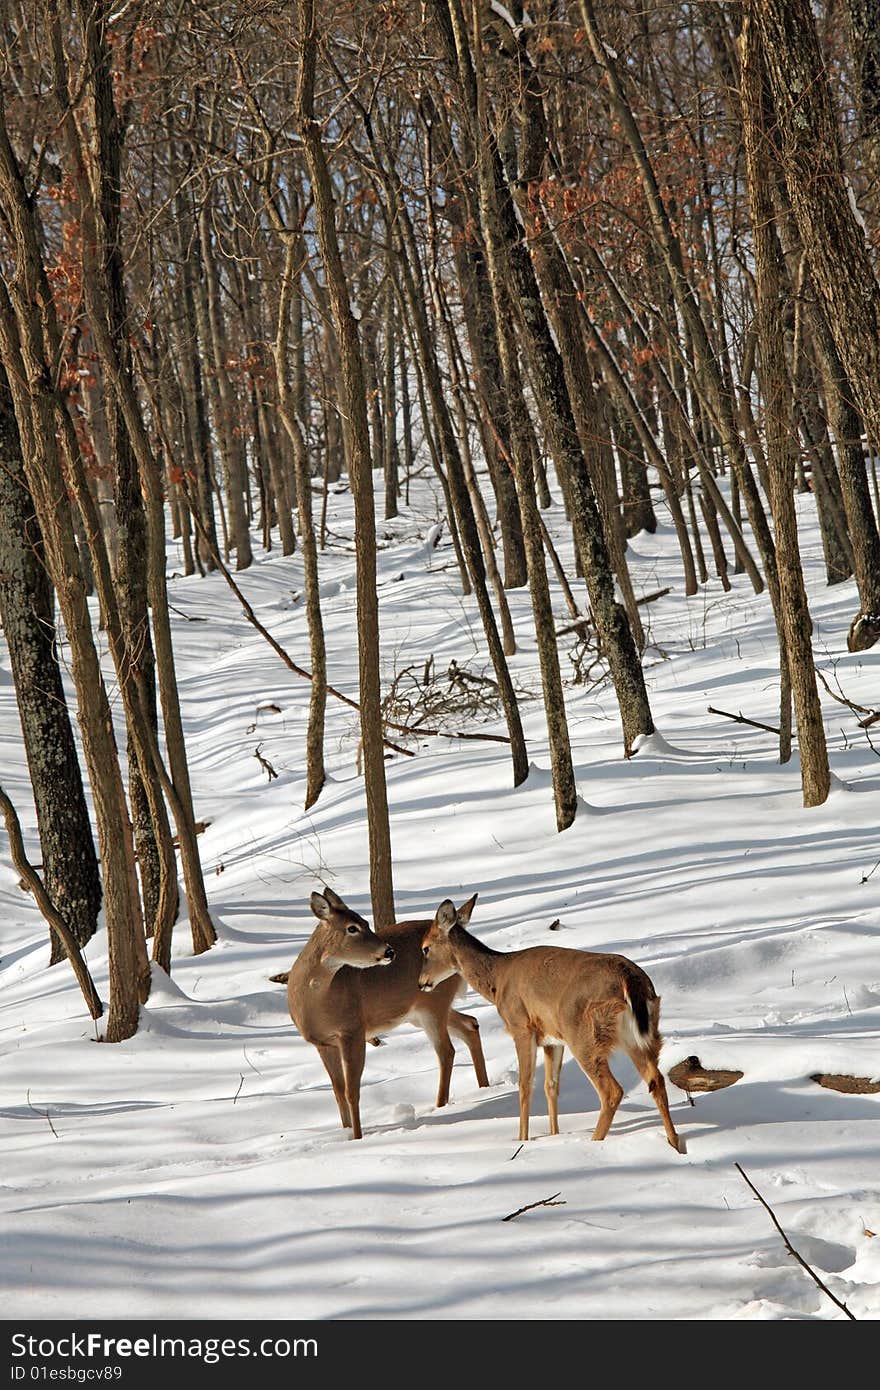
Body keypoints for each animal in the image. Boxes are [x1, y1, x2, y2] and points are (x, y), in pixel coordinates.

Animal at [286, 889, 486, 1139]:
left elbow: (352, 1091)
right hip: (420, 1012)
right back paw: (484, 1087)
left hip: (433, 1003)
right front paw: (346, 1132)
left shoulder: (353, 1030)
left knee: (446, 1051)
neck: (316, 1004)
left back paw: (440, 1105)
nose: (389, 951)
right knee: (470, 1023)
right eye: (352, 927)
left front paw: (357, 1137)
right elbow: (338, 1091)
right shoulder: (322, 1043)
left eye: (366, 922)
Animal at [414, 889, 683, 1150]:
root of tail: (629, 979)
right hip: (641, 1035)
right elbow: (551, 1086)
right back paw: (675, 1143)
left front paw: (522, 1139)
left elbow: (525, 1085)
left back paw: (595, 1141)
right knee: (656, 1080)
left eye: (425, 948)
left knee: (612, 1091)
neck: (498, 978)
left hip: (585, 1034)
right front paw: (553, 1135)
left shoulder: (521, 1026)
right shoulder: (553, 1039)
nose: (421, 982)